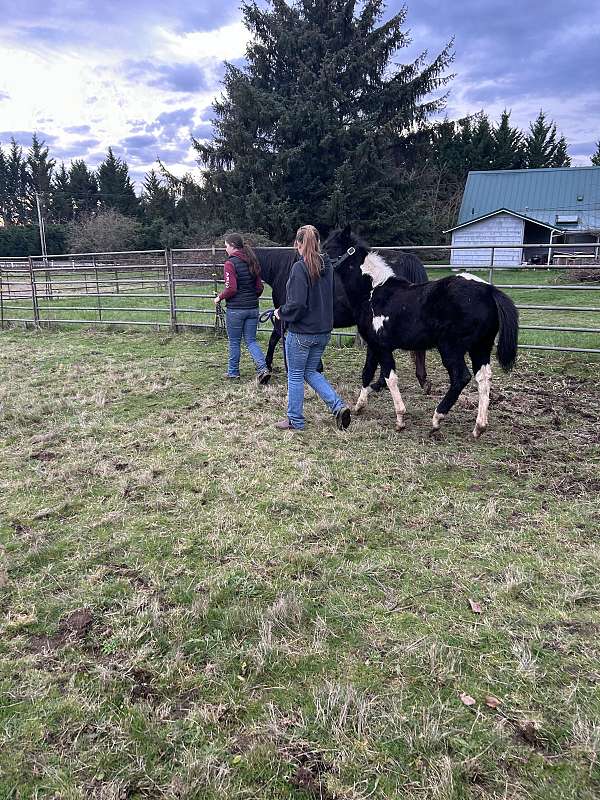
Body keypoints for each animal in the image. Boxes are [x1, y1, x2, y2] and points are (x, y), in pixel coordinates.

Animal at [323, 226, 519, 438]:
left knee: (460, 377)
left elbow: (390, 377)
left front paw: (400, 419)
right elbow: (367, 372)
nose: (318, 263)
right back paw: (479, 427)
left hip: (451, 347)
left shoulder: (382, 347)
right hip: (480, 347)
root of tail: (490, 291)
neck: (373, 292)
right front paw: (359, 406)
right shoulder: (374, 345)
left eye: (329, 247)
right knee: (483, 378)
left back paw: (437, 419)